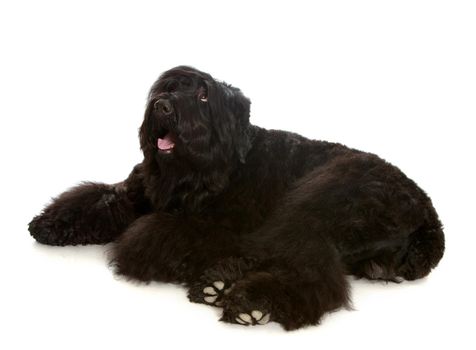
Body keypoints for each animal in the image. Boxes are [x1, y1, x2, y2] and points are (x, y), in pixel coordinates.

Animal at [28, 66, 446, 330]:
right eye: (168, 87)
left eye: (202, 95)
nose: (163, 106)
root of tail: (427, 210)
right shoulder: (137, 193)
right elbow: (98, 198)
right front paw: (51, 222)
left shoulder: (220, 225)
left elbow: (155, 233)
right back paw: (220, 284)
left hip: (317, 205)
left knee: (316, 274)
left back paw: (251, 302)